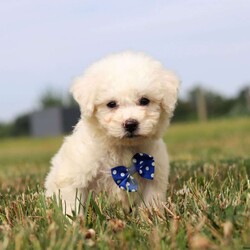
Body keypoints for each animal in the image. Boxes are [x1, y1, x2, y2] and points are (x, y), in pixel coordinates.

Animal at [45, 51, 180, 215]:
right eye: (111, 104)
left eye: (144, 100)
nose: (130, 124)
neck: (121, 146)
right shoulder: (74, 177)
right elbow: (72, 205)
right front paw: (74, 220)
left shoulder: (153, 177)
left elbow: (150, 201)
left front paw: (150, 216)